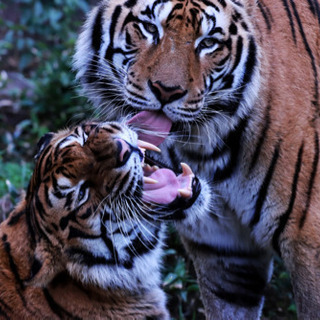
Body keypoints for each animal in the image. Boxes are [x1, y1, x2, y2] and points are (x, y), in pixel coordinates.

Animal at [74, 0, 320, 318]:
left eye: (208, 43)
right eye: (149, 28)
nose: (166, 91)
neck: (209, 151)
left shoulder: (309, 246)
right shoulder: (225, 251)